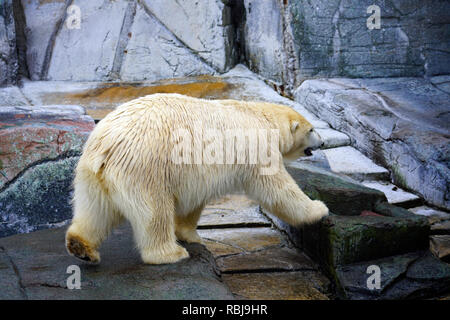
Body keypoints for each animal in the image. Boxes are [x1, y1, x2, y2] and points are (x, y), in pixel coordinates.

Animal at [65, 94, 326, 264]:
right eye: (312, 129)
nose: (323, 142)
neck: (261, 116)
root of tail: (108, 144)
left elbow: (192, 203)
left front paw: (189, 234)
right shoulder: (257, 149)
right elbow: (278, 189)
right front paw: (319, 209)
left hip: (90, 174)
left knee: (94, 210)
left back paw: (81, 246)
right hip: (144, 167)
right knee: (154, 212)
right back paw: (170, 254)